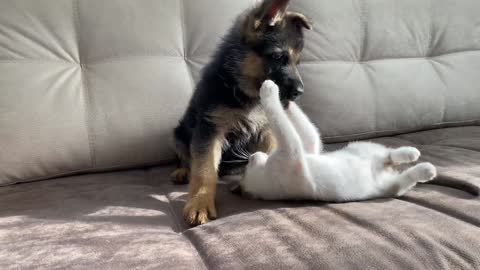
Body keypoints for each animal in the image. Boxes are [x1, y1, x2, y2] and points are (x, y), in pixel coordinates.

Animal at [172, 0, 312, 226]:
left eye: (297, 63)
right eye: (278, 57)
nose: (300, 92)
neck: (245, 92)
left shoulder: (267, 131)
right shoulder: (210, 129)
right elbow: (204, 170)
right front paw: (200, 202)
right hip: (178, 134)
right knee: (186, 157)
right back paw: (183, 171)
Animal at [240, 79, 438, 201]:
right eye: (247, 165)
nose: (252, 156)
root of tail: (384, 170)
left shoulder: (307, 149)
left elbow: (307, 133)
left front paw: (287, 99)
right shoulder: (292, 151)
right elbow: (278, 120)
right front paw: (269, 91)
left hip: (361, 146)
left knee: (389, 154)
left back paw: (410, 153)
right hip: (391, 185)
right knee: (403, 176)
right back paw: (426, 169)